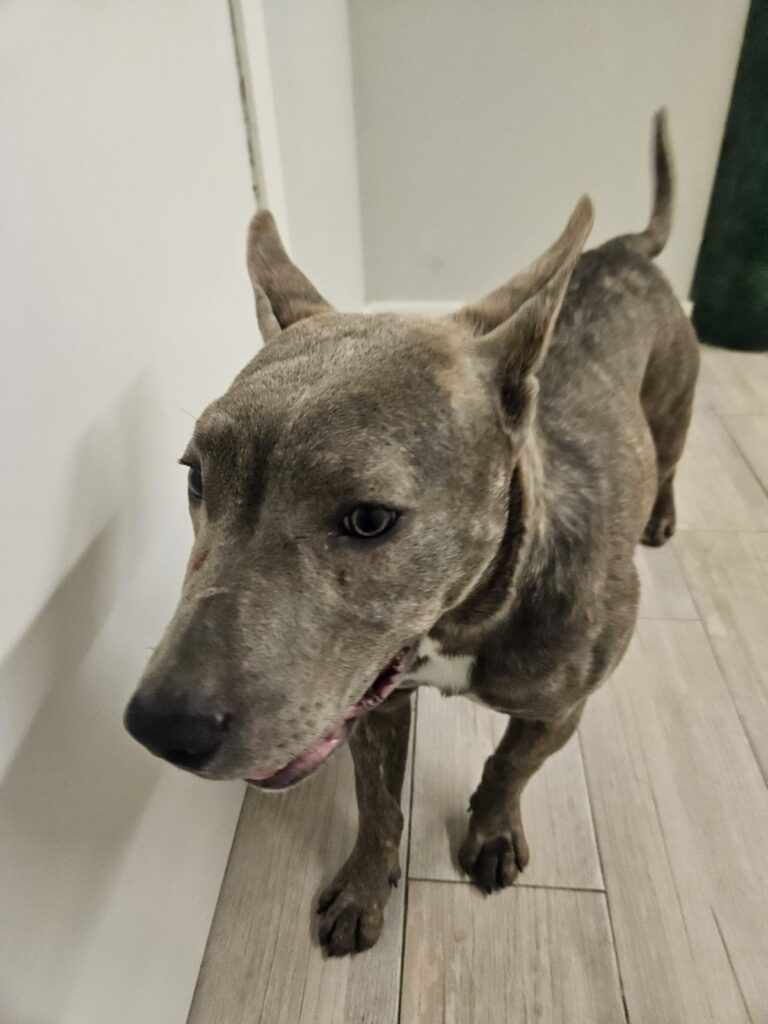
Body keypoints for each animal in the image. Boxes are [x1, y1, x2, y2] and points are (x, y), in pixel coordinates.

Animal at [124, 110, 699, 956]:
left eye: (369, 519)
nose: (161, 727)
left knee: (671, 458)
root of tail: (626, 248)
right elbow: (378, 804)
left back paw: (661, 513)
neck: (464, 618)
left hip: (672, 405)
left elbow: (508, 768)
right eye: (196, 478)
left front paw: (491, 833)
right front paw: (366, 887)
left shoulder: (558, 710)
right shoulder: (371, 707)